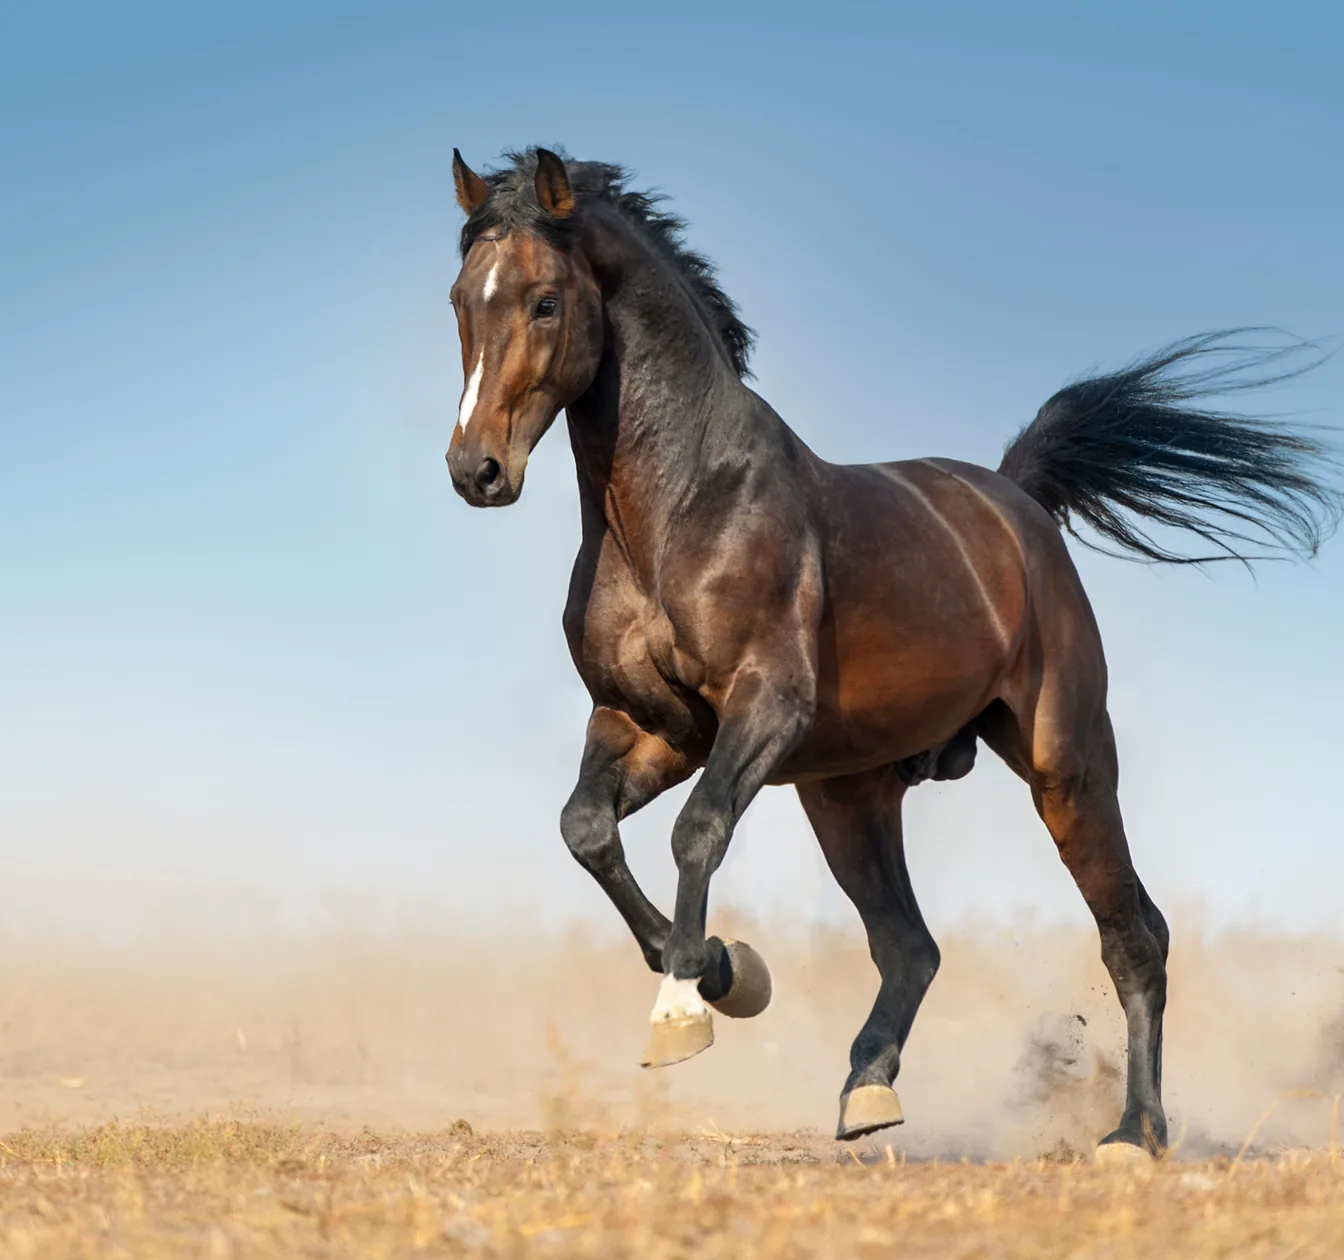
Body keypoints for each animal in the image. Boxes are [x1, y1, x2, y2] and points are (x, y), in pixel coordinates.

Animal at [443, 146, 1340, 1162]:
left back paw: (1134, 1132)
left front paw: (685, 1007)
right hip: (848, 795)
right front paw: (726, 971)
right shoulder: (650, 724)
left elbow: (696, 831)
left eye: (546, 301)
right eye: (459, 298)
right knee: (912, 945)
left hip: (1064, 762)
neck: (678, 509)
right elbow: (586, 829)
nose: (476, 470)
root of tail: (1014, 502)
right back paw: (868, 1089)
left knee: (1133, 934)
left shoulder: (763, 706)